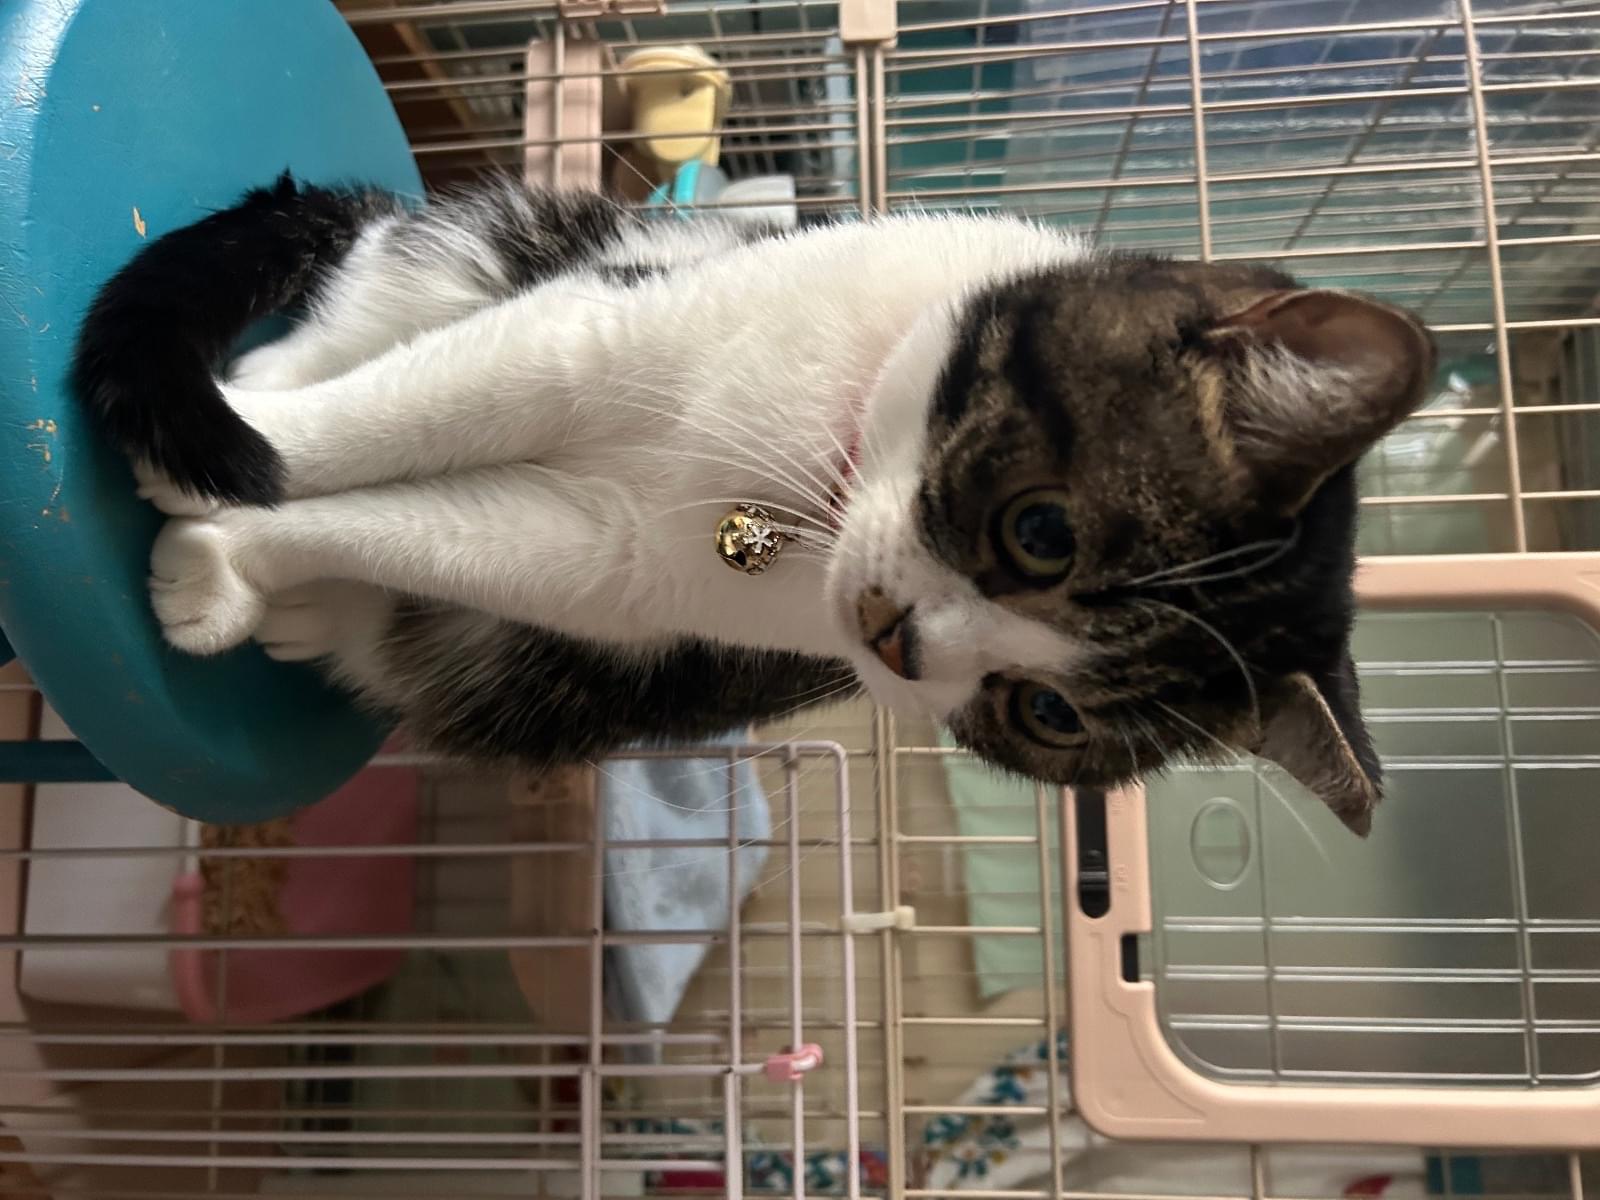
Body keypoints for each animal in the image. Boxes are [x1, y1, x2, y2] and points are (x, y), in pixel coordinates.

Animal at [73, 173, 1434, 835]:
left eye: (1045, 714)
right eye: (1039, 531)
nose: (896, 639)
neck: (818, 479)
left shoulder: (614, 567)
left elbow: (470, 536)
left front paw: (230, 555)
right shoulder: (596, 325)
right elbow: (412, 414)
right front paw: (230, 466)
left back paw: (300, 609)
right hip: (495, 249)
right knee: (364, 325)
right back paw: (250, 392)